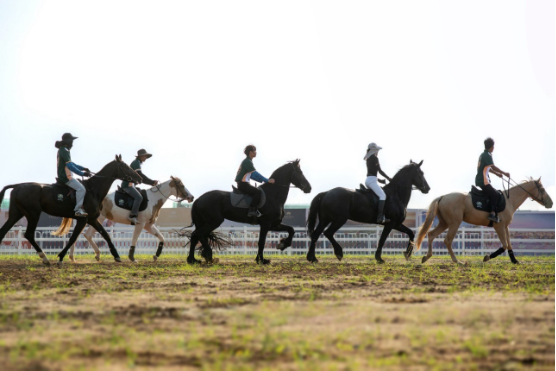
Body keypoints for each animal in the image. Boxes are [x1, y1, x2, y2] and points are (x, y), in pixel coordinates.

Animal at [0, 155, 142, 266]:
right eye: (125, 166)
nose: (139, 178)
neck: (93, 191)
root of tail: (18, 186)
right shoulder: (83, 220)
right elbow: (73, 238)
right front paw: (61, 257)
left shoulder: (92, 219)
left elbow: (105, 234)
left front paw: (116, 255)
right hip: (33, 215)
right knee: (29, 235)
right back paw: (45, 258)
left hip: (16, 214)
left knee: (3, 231)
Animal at [62, 177, 195, 264]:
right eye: (182, 186)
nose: (191, 197)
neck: (153, 199)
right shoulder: (140, 224)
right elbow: (134, 239)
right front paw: (132, 258)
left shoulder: (148, 226)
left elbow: (162, 238)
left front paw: (156, 256)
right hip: (96, 219)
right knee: (84, 235)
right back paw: (88, 255)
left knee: (82, 235)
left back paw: (79, 256)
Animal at [414, 177, 552, 264]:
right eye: (542, 189)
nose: (551, 203)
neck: (509, 200)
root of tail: (443, 197)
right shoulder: (499, 227)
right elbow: (504, 245)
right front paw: (487, 257)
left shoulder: (505, 226)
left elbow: (509, 244)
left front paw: (514, 260)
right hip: (454, 223)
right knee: (447, 240)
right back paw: (457, 261)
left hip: (444, 223)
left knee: (431, 234)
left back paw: (426, 257)